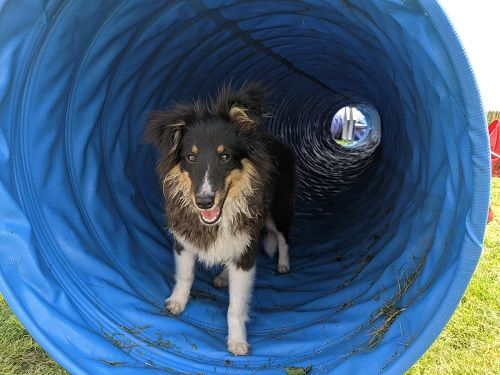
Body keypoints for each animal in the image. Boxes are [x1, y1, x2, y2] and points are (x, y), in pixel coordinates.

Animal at [145, 81, 294, 356]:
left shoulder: (246, 248)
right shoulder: (183, 238)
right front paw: (176, 303)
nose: (204, 202)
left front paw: (237, 343)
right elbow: (185, 275)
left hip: (278, 209)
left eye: (224, 156)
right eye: (191, 157)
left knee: (283, 237)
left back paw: (283, 265)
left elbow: (236, 305)